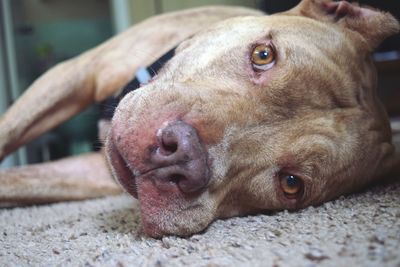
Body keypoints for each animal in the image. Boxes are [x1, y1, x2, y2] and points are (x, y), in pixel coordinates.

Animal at [0, 0, 400, 239]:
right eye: (264, 54)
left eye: (291, 184)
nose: (180, 157)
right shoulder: (74, 73)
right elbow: (8, 132)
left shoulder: (91, 173)